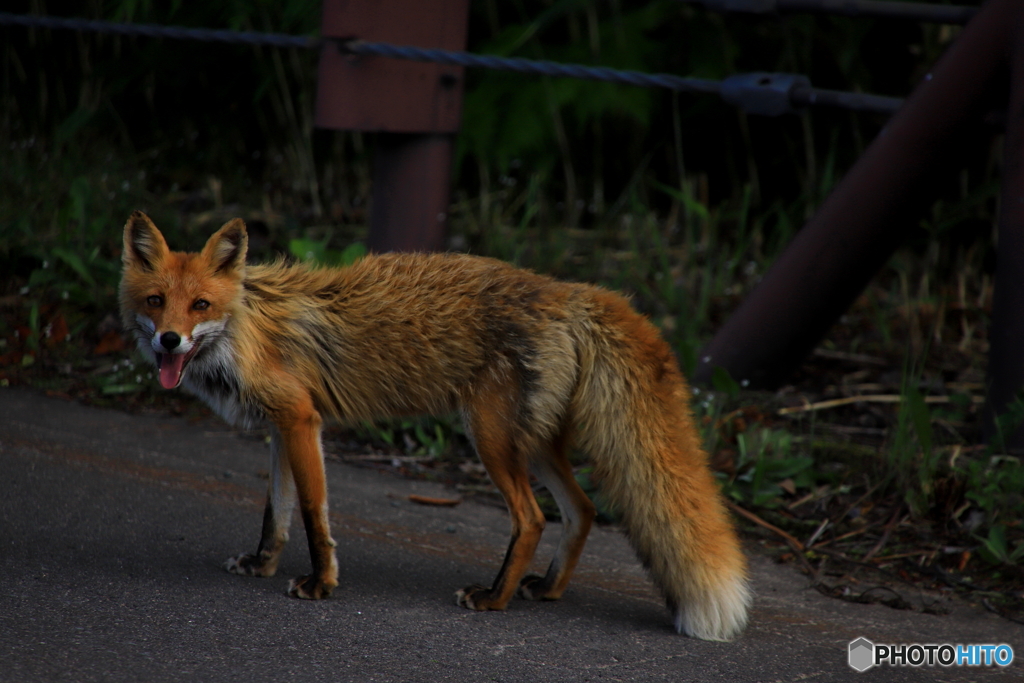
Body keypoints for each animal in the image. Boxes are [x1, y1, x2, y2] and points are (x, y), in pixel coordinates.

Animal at [119, 209, 753, 643]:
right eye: (155, 302)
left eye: (200, 306)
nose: (169, 340)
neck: (243, 334)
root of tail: (566, 290)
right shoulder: (280, 428)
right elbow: (275, 513)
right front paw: (262, 564)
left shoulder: (301, 418)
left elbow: (313, 515)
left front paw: (321, 584)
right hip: (534, 443)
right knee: (583, 509)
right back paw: (548, 589)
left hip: (491, 438)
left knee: (533, 518)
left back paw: (494, 598)